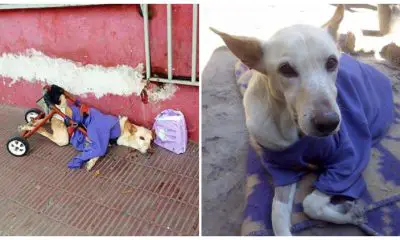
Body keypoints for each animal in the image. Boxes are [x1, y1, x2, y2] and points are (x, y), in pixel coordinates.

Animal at [19, 85, 155, 172]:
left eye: (151, 140)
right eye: (141, 138)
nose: (150, 151)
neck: (121, 128)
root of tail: (57, 112)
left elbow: (97, 152)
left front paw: (91, 161)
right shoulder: (98, 135)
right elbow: (99, 150)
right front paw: (90, 161)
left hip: (51, 120)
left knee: (41, 119)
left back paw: (29, 122)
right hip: (62, 139)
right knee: (43, 130)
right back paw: (29, 130)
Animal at [212, 4, 394, 236]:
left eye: (331, 62)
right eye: (286, 69)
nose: (328, 123)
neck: (292, 126)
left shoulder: (349, 162)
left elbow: (310, 203)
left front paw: (348, 212)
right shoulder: (282, 170)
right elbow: (277, 216)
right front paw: (348, 212)